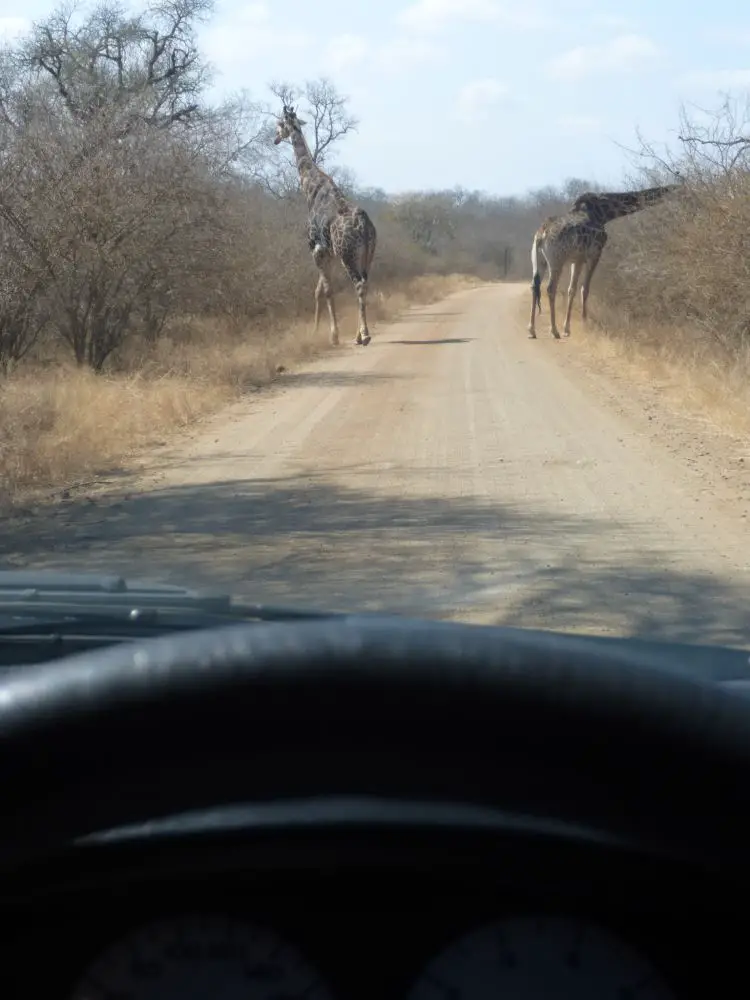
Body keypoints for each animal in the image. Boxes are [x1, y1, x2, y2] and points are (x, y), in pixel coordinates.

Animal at [274, 104, 376, 348]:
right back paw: (358, 335)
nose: (275, 139)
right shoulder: (328, 253)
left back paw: (364, 335)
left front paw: (333, 335)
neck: (311, 189)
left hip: (348, 255)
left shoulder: (316, 249)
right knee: (365, 283)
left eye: (279, 124)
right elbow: (319, 289)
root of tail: (365, 226)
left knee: (358, 285)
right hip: (367, 255)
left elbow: (326, 290)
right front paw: (315, 331)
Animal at [528, 187, 680, 340]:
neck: (604, 213)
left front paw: (567, 328)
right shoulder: (595, 253)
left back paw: (532, 330)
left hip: (539, 260)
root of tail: (541, 235)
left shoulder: (577, 259)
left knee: (534, 285)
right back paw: (554, 331)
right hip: (556, 260)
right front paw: (584, 323)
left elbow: (572, 289)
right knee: (550, 288)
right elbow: (585, 289)